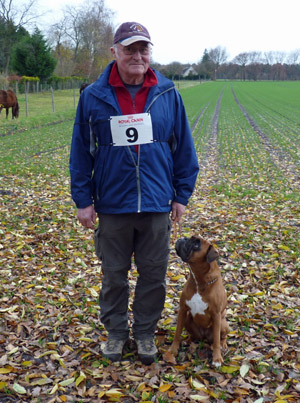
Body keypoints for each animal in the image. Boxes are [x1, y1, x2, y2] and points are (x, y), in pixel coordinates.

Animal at [169, 235, 227, 368]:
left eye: (196, 244)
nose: (184, 238)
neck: (199, 282)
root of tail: (204, 336)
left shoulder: (216, 315)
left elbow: (216, 340)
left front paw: (217, 358)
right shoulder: (183, 310)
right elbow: (177, 332)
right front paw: (173, 350)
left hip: (223, 323)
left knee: (221, 337)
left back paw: (223, 344)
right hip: (187, 319)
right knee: (193, 335)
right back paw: (188, 340)